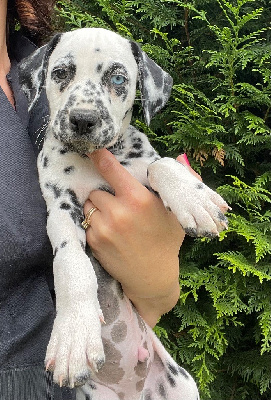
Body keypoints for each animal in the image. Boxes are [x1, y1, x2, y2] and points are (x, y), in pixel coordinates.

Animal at [18, 28, 230, 400]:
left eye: (118, 79)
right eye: (61, 73)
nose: (82, 119)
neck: (94, 160)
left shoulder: (141, 171)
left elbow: (162, 163)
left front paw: (194, 198)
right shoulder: (61, 206)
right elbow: (72, 264)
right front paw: (74, 334)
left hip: (183, 385)